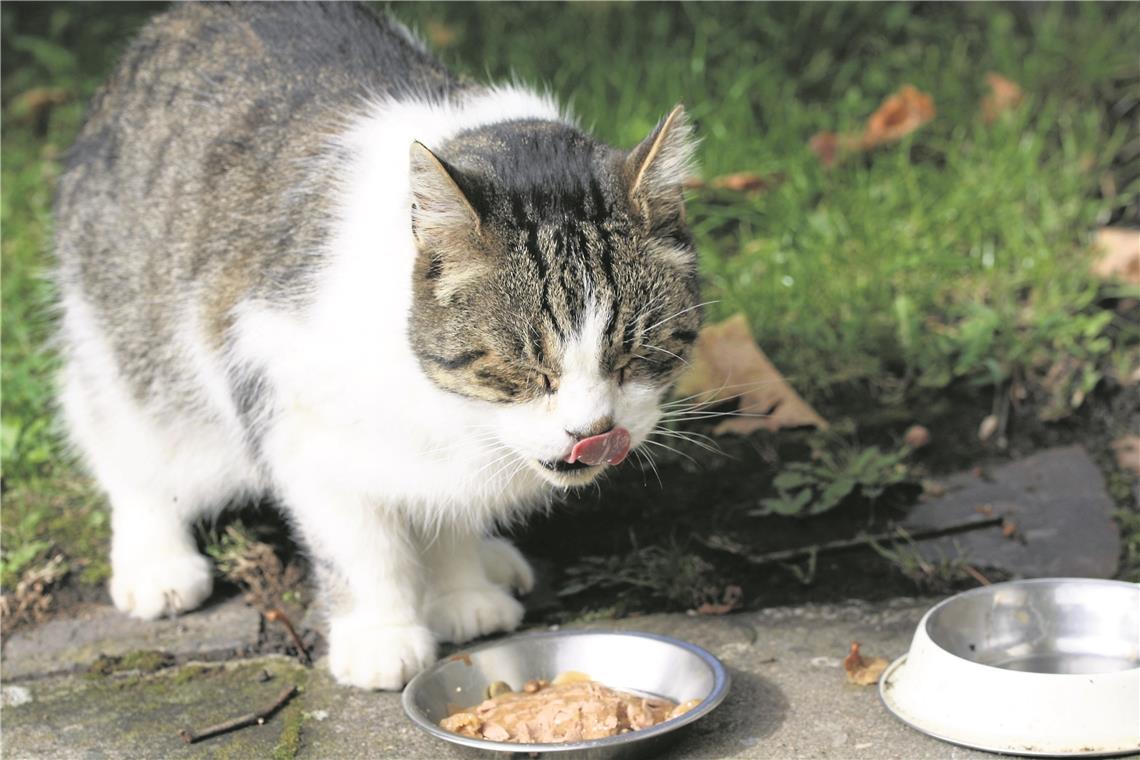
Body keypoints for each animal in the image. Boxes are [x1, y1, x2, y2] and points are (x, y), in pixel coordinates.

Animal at [55, 1, 702, 688]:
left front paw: (462, 591)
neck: (454, 413)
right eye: (520, 370)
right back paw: (155, 557)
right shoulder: (288, 407)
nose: (593, 431)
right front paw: (381, 632)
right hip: (128, 341)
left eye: (637, 355)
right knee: (125, 440)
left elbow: (448, 514)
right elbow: (359, 544)